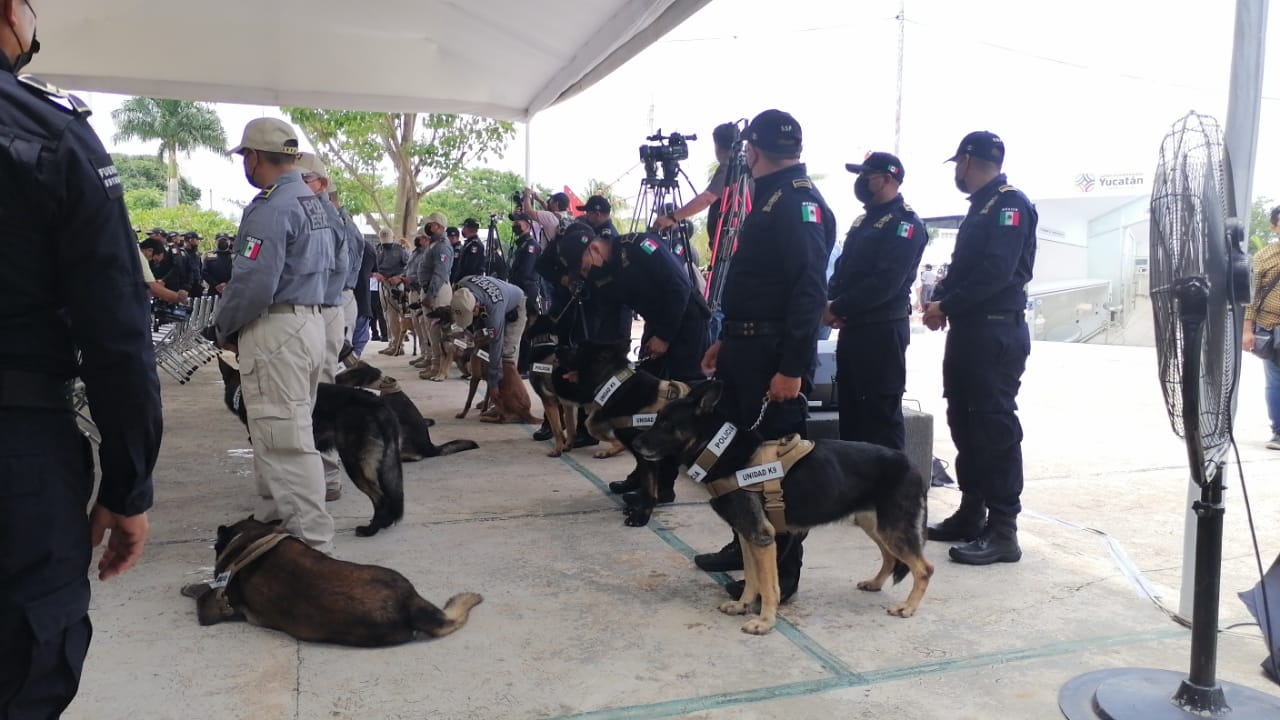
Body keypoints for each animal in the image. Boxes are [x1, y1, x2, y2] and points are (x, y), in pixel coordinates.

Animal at [552, 338, 691, 525]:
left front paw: (642, 514)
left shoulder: (648, 455)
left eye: (578, 348)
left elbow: (649, 487)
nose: (556, 348)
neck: (614, 384)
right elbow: (643, 475)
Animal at [634, 381, 936, 632]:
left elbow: (769, 585)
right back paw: (875, 584)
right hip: (875, 525)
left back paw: (908, 607)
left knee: (924, 568)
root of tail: (912, 465)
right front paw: (743, 605)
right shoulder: (748, 537)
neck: (720, 450)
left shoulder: (762, 538)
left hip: (893, 529)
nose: (635, 443)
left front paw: (765, 622)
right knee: (890, 557)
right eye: (657, 419)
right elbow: (752, 578)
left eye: (665, 423)